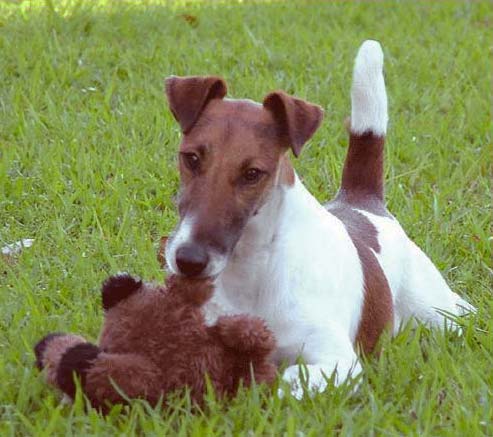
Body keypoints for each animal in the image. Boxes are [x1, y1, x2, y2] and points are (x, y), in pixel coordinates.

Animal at [161, 41, 472, 398]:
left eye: (253, 174)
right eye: (191, 158)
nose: (188, 261)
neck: (253, 266)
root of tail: (362, 200)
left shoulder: (337, 360)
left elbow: (285, 378)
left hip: (435, 311)